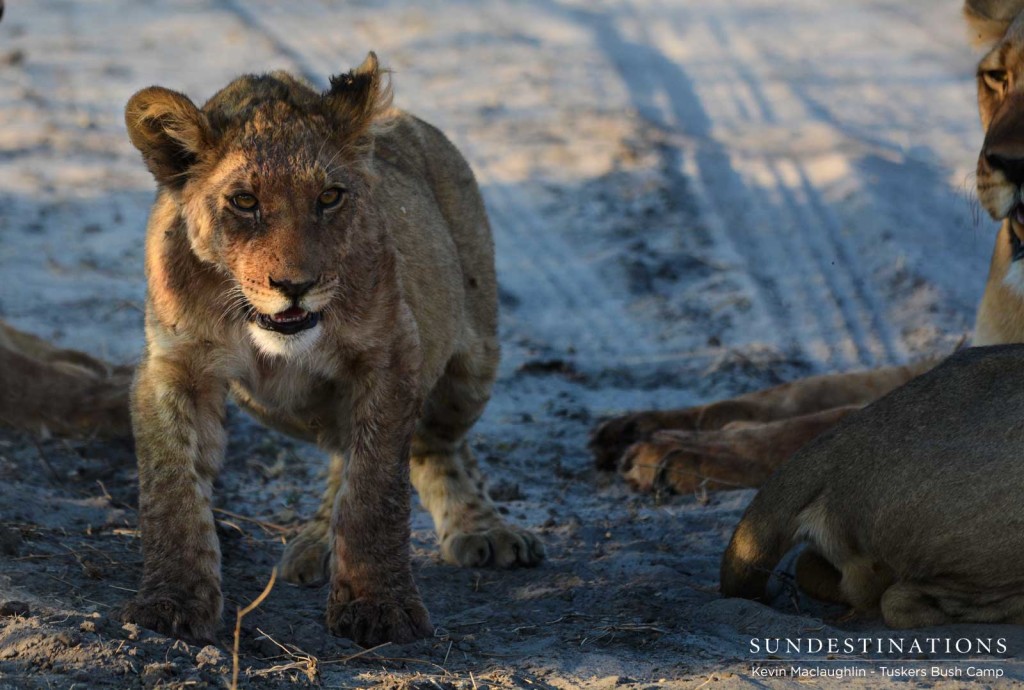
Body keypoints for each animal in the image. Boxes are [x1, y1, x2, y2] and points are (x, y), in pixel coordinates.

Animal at [117, 53, 544, 647]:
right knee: (346, 450)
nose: (294, 286)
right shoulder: (174, 366)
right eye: (245, 202)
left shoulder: (390, 355)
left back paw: (485, 530)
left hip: (472, 364)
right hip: (292, 408)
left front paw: (377, 607)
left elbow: (375, 490)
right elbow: (170, 485)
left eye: (329, 197)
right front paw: (172, 603)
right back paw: (318, 542)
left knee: (434, 445)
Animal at [593, 0, 1024, 495]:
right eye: (997, 76)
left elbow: (835, 422)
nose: (1013, 166)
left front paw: (687, 450)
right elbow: (808, 389)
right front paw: (643, 424)